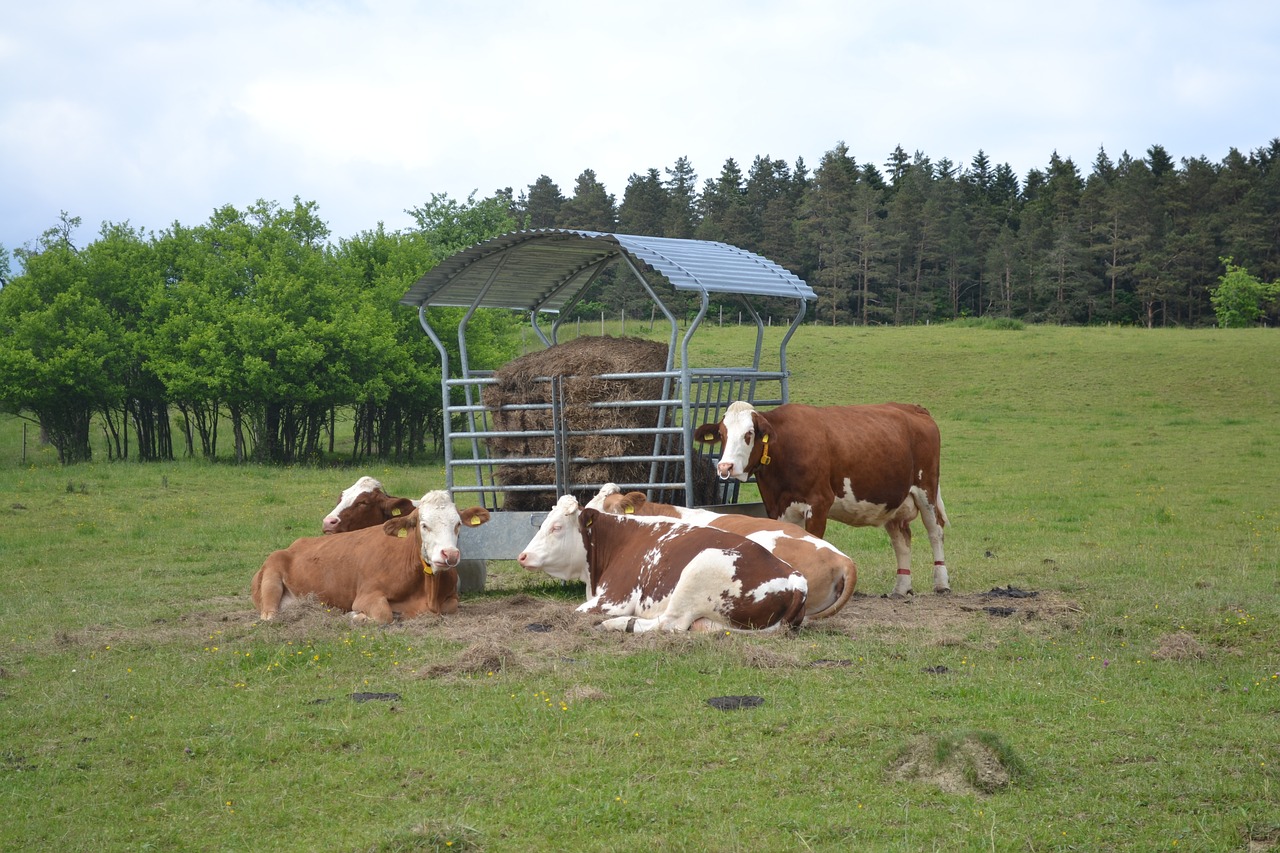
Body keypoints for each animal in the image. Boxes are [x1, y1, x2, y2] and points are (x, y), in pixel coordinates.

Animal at [253, 489, 488, 622]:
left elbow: (451, 607)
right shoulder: (367, 594)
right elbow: (383, 615)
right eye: (423, 525)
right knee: (269, 616)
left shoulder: (451, 598)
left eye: (458, 524)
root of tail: (294, 545)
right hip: (272, 576)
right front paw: (355, 616)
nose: (450, 554)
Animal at [514, 491, 803, 630]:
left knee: (670, 623)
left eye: (557, 527)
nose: (522, 556)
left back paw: (618, 625)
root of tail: (794, 580)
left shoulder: (614, 599)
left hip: (698, 570)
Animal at [701, 399, 952, 594]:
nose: (725, 467)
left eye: (749, 433)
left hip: (926, 489)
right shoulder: (777, 507)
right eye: (722, 433)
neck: (785, 446)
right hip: (894, 501)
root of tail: (914, 408)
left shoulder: (819, 503)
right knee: (901, 539)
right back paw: (902, 587)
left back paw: (941, 583)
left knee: (935, 531)